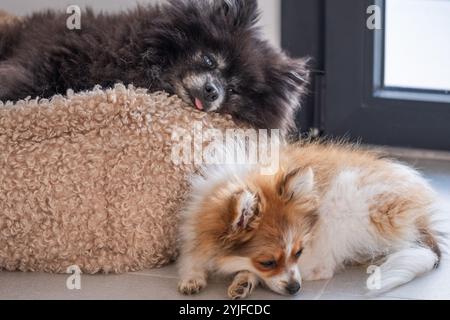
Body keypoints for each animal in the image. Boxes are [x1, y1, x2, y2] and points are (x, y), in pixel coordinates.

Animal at [178, 141, 444, 298]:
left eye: (299, 252)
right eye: (267, 262)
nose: (295, 288)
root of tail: (422, 220)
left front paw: (245, 278)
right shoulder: (195, 227)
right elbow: (192, 256)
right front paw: (192, 277)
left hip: (346, 201)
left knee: (324, 267)